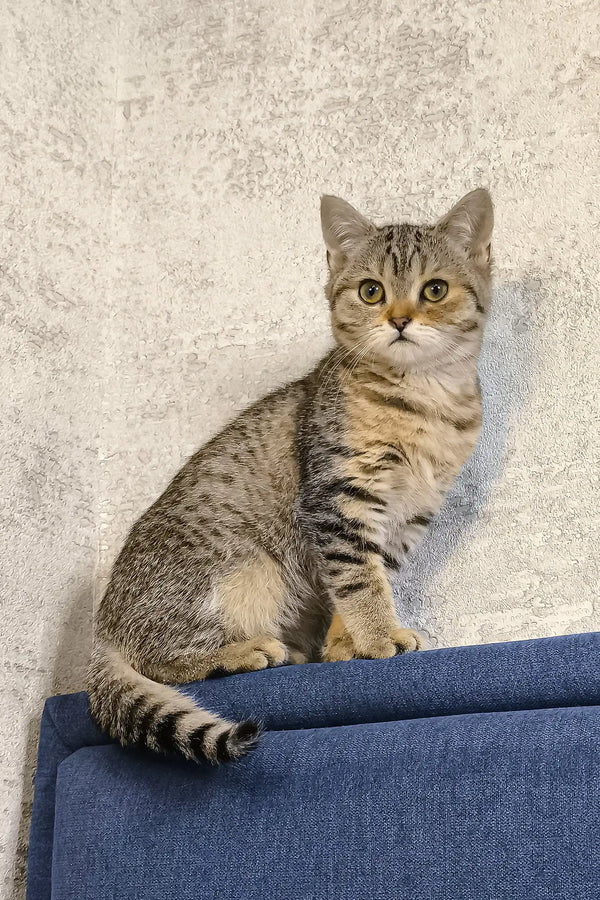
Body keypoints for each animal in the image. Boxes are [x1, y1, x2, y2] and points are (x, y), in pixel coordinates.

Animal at [88, 186, 492, 764]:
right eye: (371, 291)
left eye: (434, 290)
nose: (398, 320)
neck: (424, 398)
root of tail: (103, 632)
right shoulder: (336, 497)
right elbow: (358, 578)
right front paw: (378, 636)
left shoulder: (408, 515)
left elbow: (372, 575)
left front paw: (346, 644)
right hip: (248, 568)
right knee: (156, 659)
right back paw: (241, 651)